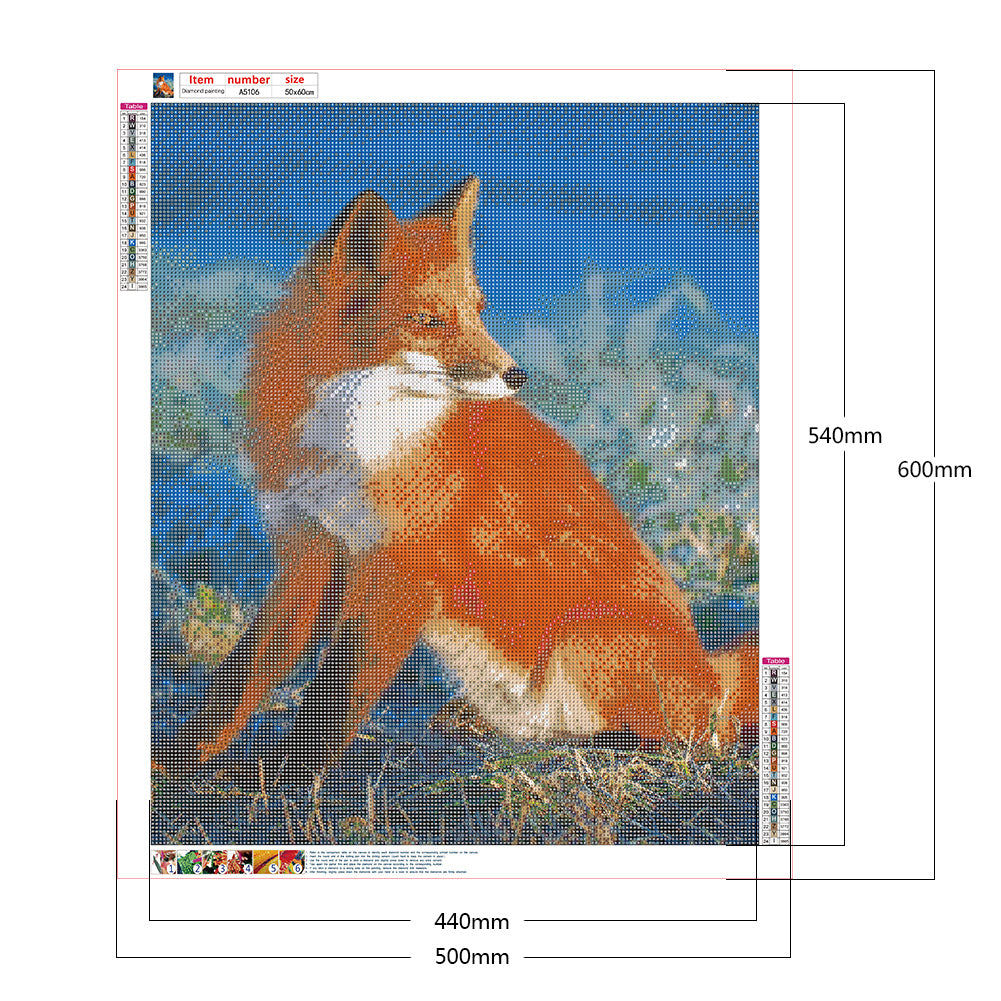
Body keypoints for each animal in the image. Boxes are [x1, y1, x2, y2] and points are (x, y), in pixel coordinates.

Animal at [153, 176, 758, 782]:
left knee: (688, 739)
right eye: (430, 321)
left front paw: (295, 786)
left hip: (582, 643)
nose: (518, 375)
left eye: (479, 311)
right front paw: (181, 766)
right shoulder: (310, 553)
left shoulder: (402, 572)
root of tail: (711, 671)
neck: (350, 439)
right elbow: (236, 683)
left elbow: (335, 702)